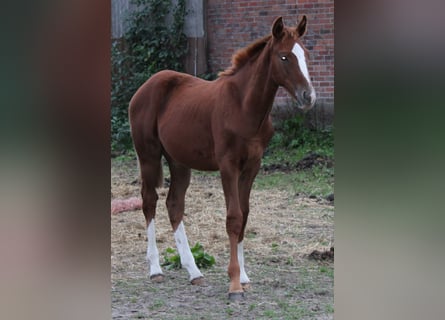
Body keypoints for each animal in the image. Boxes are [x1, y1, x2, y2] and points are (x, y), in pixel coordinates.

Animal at [129, 15, 316, 300]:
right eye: (284, 57)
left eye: (305, 54)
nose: (309, 96)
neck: (243, 107)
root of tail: (145, 87)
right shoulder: (228, 166)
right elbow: (234, 217)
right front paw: (234, 284)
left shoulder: (252, 167)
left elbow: (245, 214)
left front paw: (245, 277)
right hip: (148, 155)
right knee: (149, 201)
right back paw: (156, 270)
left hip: (179, 161)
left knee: (174, 204)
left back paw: (194, 272)